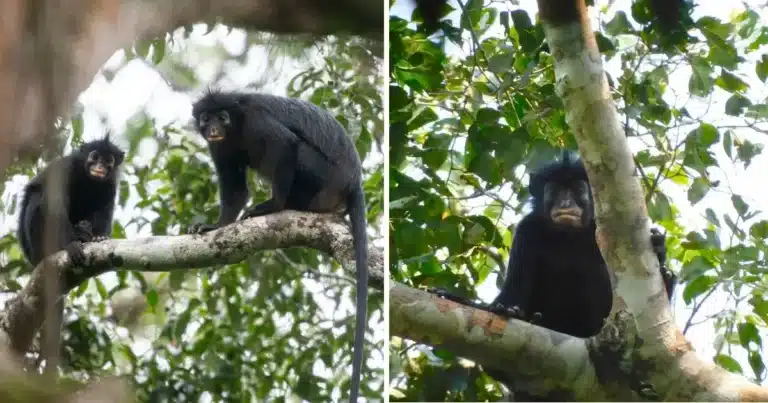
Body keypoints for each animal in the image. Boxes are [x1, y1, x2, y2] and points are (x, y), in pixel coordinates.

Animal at [17, 134, 124, 290]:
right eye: (95, 157)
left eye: (108, 161)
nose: (100, 167)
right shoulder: (65, 169)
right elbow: (56, 207)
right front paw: (71, 245)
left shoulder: (110, 184)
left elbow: (105, 210)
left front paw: (99, 237)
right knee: (38, 197)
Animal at [186, 89, 369, 403]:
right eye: (206, 118)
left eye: (222, 117)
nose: (213, 129)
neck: (236, 128)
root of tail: (353, 181)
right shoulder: (220, 149)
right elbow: (235, 190)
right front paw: (216, 226)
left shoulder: (256, 121)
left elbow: (285, 144)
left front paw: (274, 206)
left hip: (323, 180)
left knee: (298, 151)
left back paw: (287, 204)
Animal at [429, 150, 676, 400]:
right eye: (556, 191)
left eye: (576, 189)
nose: (565, 203)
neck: (569, 235)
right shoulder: (526, 230)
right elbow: (509, 297)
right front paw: (478, 304)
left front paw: (659, 248)